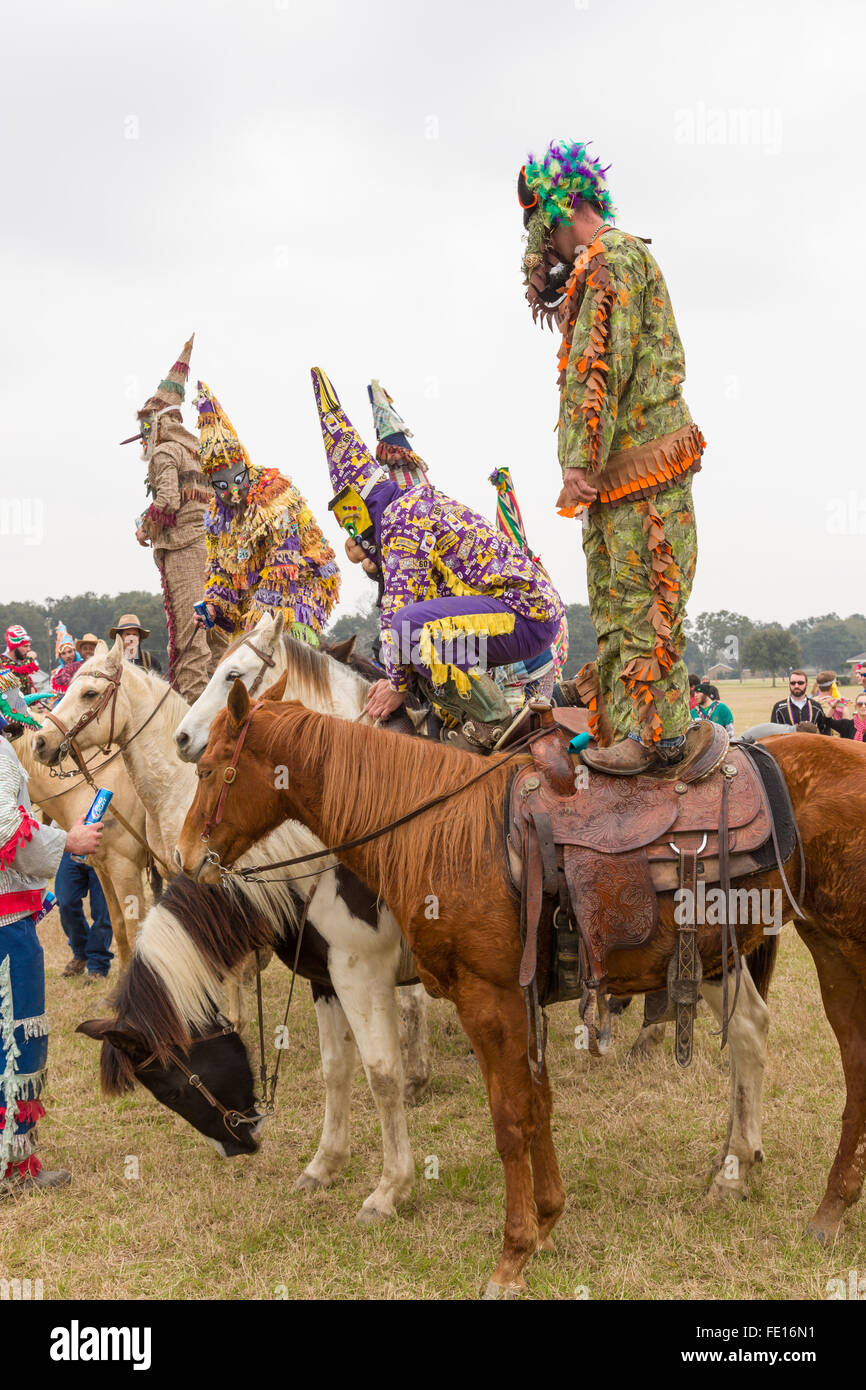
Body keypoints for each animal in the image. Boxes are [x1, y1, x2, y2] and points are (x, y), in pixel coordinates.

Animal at [34, 636, 430, 1223]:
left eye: (172, 1090)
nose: (39, 741)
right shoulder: (324, 976)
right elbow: (337, 1065)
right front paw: (323, 1166)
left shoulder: (358, 972)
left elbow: (377, 1070)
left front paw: (388, 1191)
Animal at [174, 678, 866, 1295]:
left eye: (209, 769)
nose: (184, 855)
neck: (446, 830)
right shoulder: (513, 997)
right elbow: (538, 1104)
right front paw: (550, 1218)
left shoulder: (485, 997)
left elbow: (507, 1118)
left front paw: (512, 1252)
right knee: (765, 1037)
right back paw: (767, 1183)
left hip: (836, 947)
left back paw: (824, 1202)